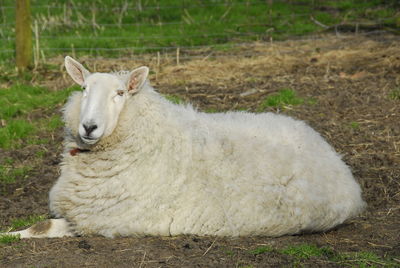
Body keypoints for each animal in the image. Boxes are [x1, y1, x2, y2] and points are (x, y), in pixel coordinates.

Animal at [2, 56, 366, 239]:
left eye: (120, 93)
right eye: (84, 89)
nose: (89, 127)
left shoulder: (102, 221)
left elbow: (39, 227)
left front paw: (10, 236)